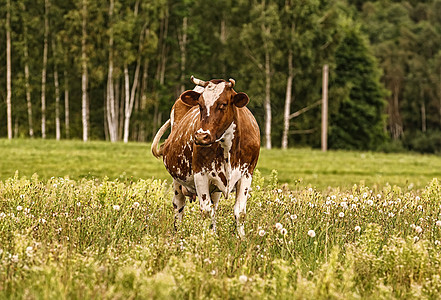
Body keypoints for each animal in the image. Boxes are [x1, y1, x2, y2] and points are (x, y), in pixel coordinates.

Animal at [152, 76, 262, 238]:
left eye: (223, 104)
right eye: (200, 105)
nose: (201, 136)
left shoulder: (246, 174)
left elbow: (240, 212)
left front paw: (241, 239)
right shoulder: (201, 174)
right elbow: (206, 211)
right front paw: (206, 240)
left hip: (215, 187)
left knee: (214, 207)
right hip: (177, 180)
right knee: (179, 205)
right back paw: (178, 233)